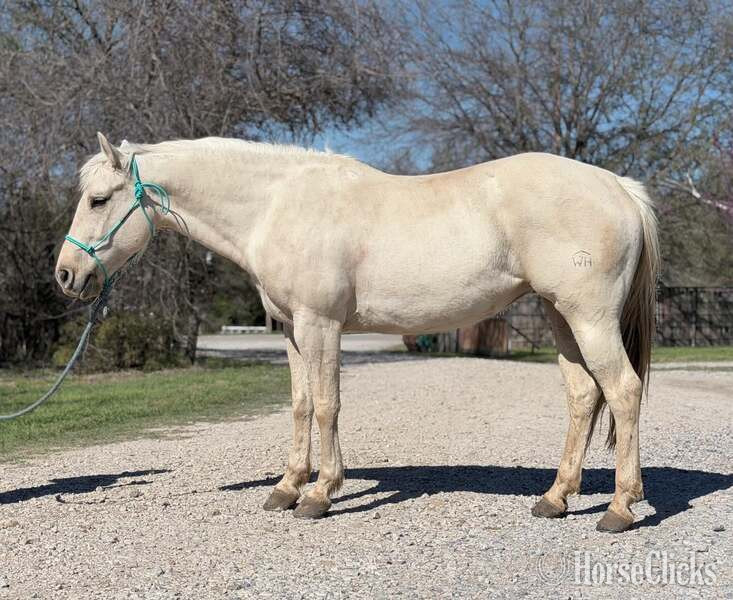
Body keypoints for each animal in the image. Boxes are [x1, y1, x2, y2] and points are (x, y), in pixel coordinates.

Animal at [56, 132, 659, 533]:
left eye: (99, 199)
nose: (65, 274)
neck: (277, 205)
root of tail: (619, 187)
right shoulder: (292, 330)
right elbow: (301, 405)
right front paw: (286, 487)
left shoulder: (320, 325)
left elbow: (327, 405)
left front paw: (320, 494)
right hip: (561, 317)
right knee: (584, 396)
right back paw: (555, 499)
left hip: (589, 318)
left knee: (623, 391)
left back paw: (619, 508)